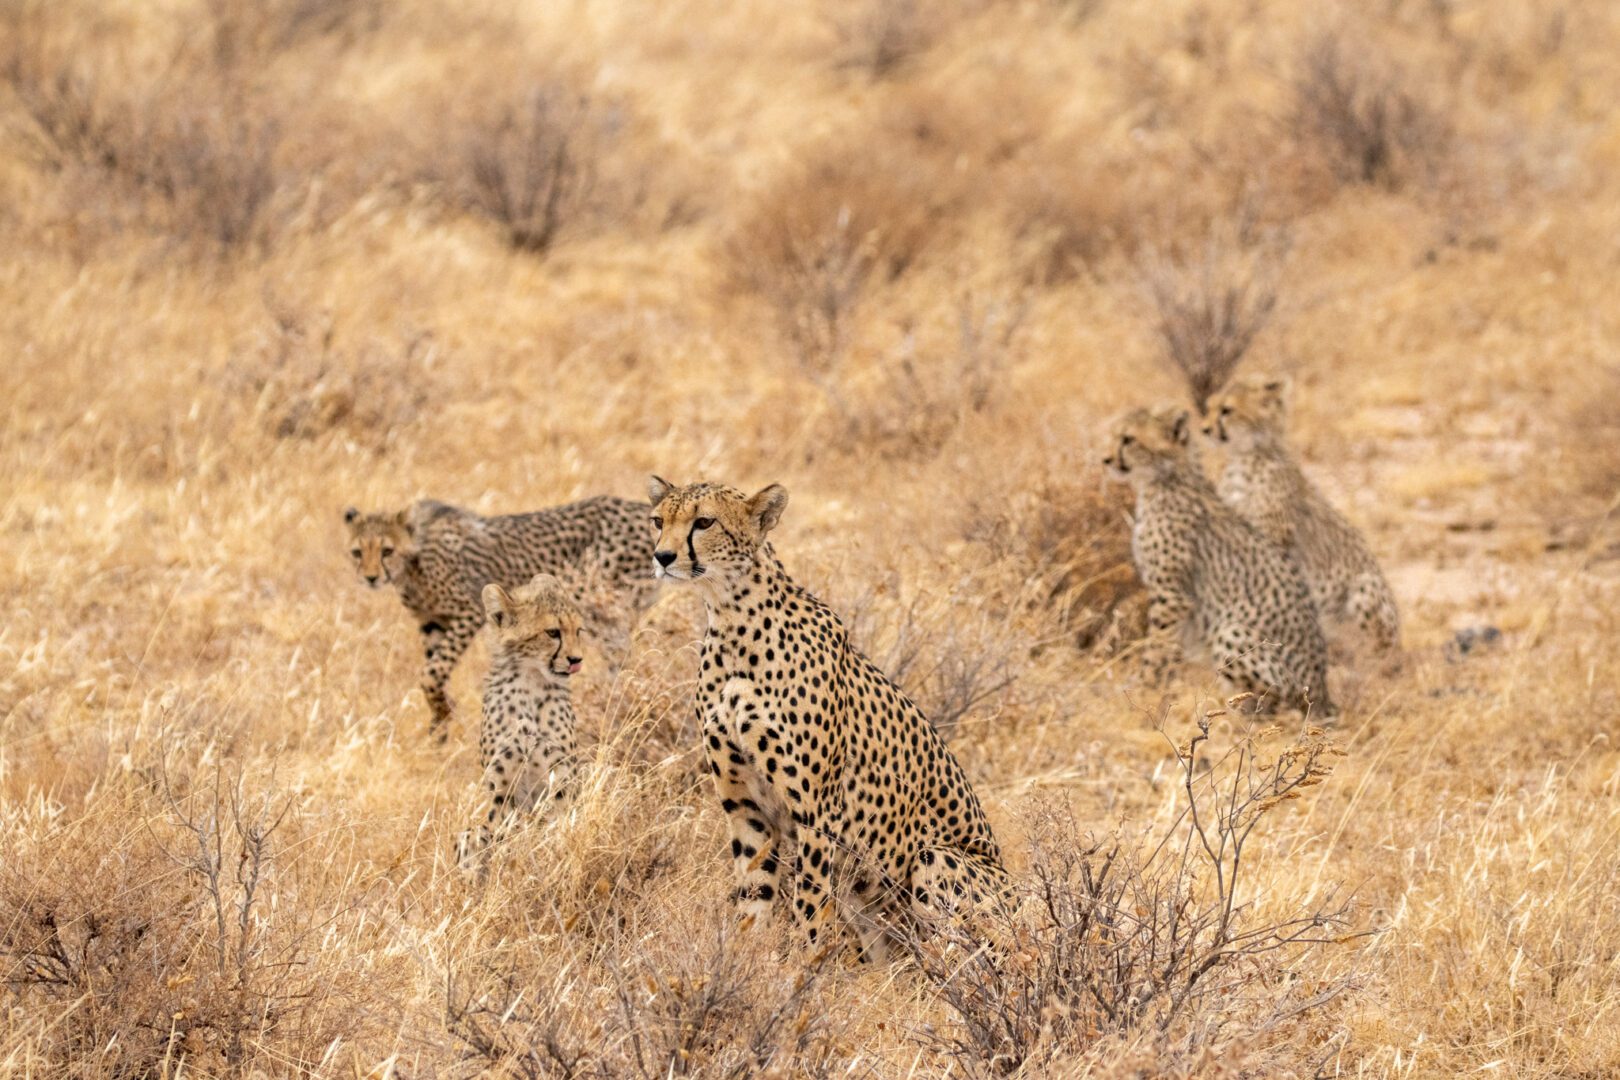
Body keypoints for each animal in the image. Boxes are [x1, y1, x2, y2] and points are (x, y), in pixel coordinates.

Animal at [345, 495, 654, 738]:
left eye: (387, 551)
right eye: (357, 552)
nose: (370, 578)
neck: (414, 558)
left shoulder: (468, 612)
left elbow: (432, 673)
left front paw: (444, 712)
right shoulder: (431, 623)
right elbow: (434, 671)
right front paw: (440, 720)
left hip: (601, 605)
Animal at [456, 573, 583, 861]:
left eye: (578, 631)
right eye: (552, 632)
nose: (576, 660)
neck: (531, 682)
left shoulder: (561, 777)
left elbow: (557, 824)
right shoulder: (502, 785)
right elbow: (504, 826)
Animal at [648, 476, 1010, 958]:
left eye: (704, 522)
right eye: (658, 521)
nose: (663, 557)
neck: (731, 619)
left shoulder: (817, 813)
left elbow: (809, 902)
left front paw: (803, 965)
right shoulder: (745, 808)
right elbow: (753, 897)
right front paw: (748, 961)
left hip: (937, 860)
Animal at [1108, 404, 1334, 718]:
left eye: (1128, 439)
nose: (1107, 459)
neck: (1167, 478)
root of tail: (1323, 694)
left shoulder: (1172, 597)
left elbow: (1157, 648)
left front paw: (1143, 689)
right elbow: (1169, 650)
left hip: (1232, 632)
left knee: (1280, 704)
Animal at [1211, 375, 1399, 654]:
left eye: (1227, 410)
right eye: (1210, 407)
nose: (1204, 429)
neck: (1245, 457)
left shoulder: (1272, 541)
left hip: (1366, 586)